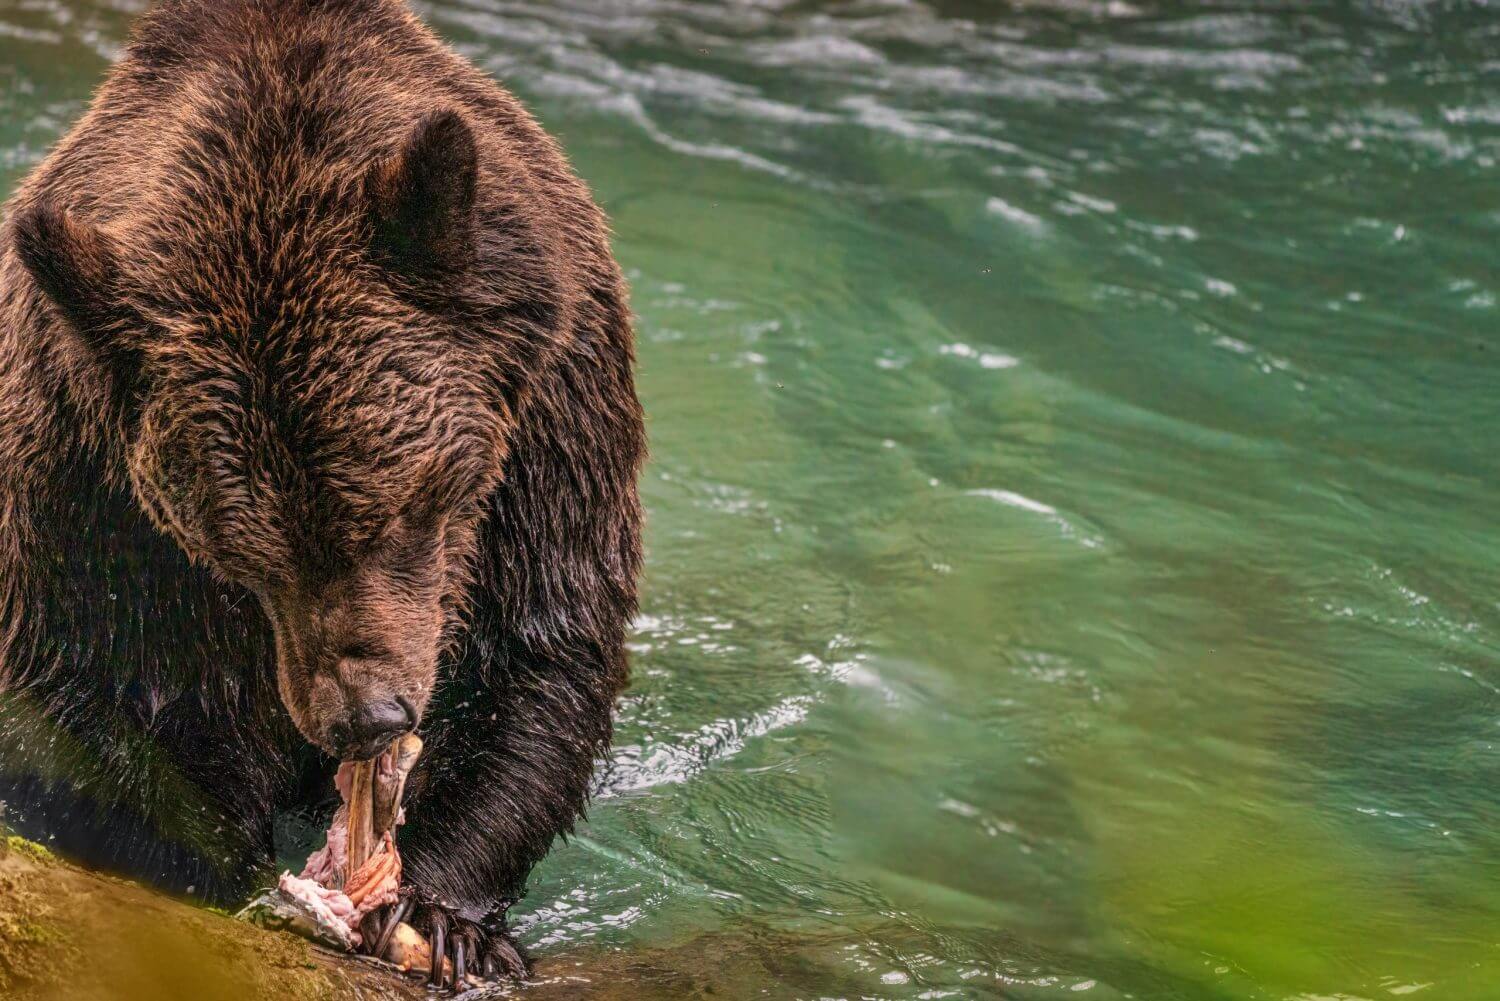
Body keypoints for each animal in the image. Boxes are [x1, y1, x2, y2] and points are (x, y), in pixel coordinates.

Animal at [0, 0, 639, 984]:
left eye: (406, 508)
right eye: (246, 555)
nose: (364, 718)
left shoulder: (553, 419)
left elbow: (541, 659)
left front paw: (444, 915)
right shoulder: (80, 470)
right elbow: (71, 689)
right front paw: (236, 871)